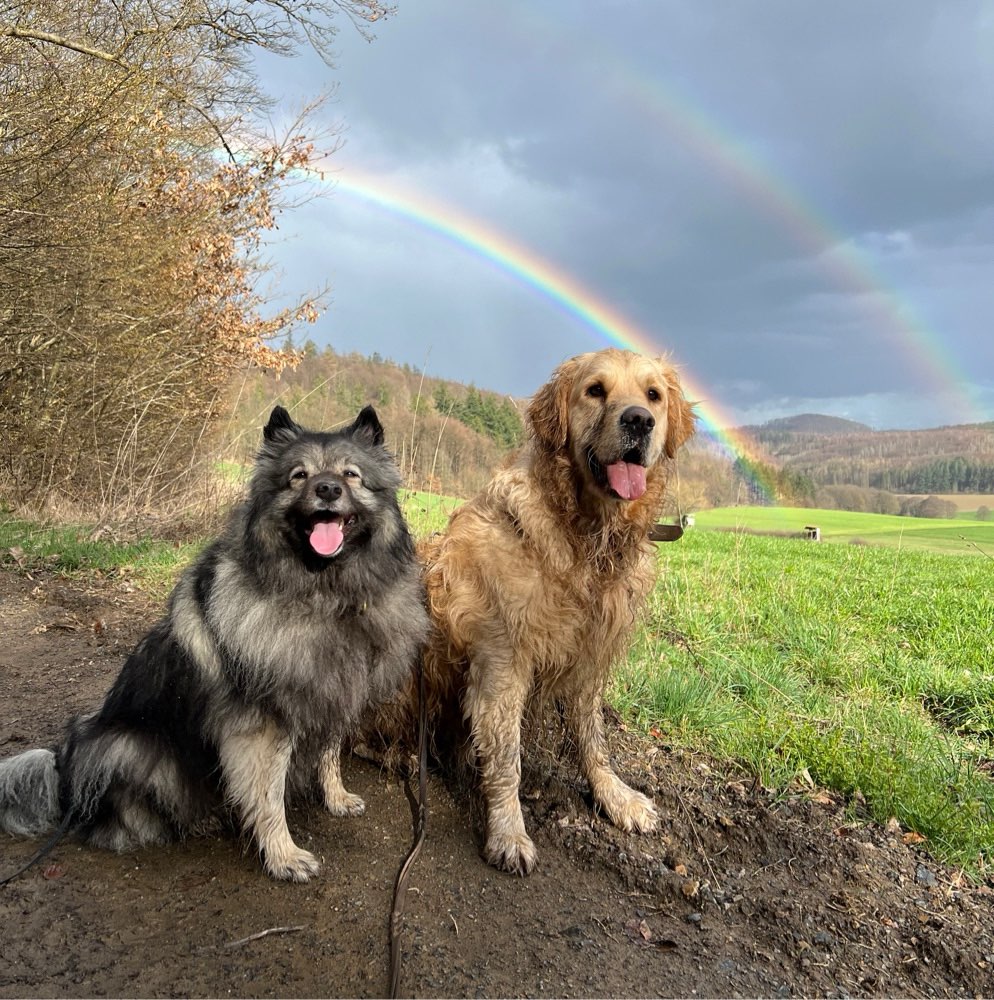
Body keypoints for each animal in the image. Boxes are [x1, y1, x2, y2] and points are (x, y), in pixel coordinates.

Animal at [0, 402, 424, 880]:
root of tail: (63, 769)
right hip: (129, 747)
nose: (328, 489)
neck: (326, 596)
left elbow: (328, 756)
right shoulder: (264, 722)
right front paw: (283, 856)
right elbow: (268, 794)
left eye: (351, 474)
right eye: (298, 476)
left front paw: (335, 798)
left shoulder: (332, 693)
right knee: (112, 818)